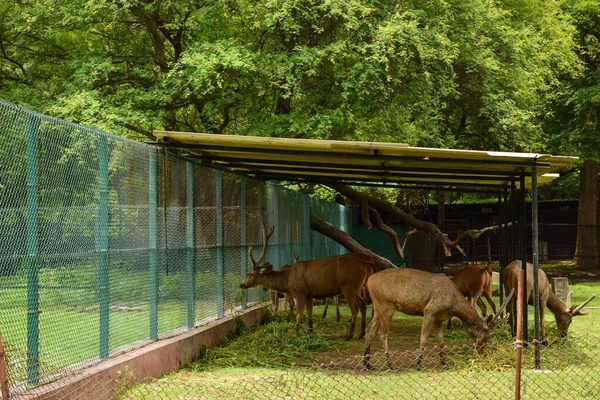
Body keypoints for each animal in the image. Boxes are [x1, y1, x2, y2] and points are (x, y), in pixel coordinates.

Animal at [240, 223, 376, 340]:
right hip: (358, 287)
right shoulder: (309, 294)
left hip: (349, 286)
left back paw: (350, 335)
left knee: (355, 308)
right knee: (363, 305)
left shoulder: (299, 292)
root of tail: (365, 264)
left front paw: (295, 332)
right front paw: (310, 330)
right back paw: (361, 334)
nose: (241, 284)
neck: (287, 279)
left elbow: (299, 313)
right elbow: (309, 313)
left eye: (251, 274)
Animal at [360, 268, 510, 370]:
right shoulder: (429, 311)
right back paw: (390, 365)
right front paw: (418, 364)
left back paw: (367, 364)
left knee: (370, 329)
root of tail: (369, 281)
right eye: (486, 336)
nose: (482, 353)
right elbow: (424, 338)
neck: (453, 305)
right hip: (386, 304)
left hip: (378, 307)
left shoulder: (439, 318)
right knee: (382, 333)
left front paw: (444, 362)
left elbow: (440, 340)